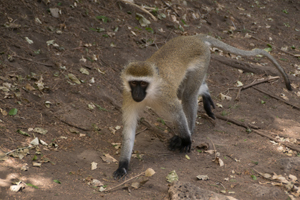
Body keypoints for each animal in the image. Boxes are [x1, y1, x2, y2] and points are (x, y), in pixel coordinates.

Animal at [112, 33, 290, 179]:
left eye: (143, 83)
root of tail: (194, 38)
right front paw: (123, 166)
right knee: (185, 93)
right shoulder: (128, 97)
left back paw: (188, 131)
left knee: (188, 96)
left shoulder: (164, 97)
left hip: (202, 62)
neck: (150, 93)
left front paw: (186, 139)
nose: (137, 94)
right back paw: (205, 92)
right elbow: (129, 130)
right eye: (133, 83)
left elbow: (178, 112)